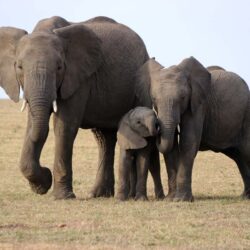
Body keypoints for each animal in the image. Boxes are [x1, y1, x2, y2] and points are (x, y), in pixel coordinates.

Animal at [0, 15, 148, 199]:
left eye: (59, 67)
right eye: (19, 67)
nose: (46, 173)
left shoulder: (79, 78)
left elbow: (64, 126)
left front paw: (61, 195)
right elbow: (32, 124)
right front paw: (41, 186)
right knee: (104, 138)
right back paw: (99, 194)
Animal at [137, 56, 250, 201]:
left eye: (183, 98)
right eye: (154, 99)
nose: (156, 128)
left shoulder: (198, 104)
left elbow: (188, 141)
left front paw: (181, 199)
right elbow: (172, 147)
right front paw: (170, 199)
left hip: (246, 116)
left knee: (246, 151)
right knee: (239, 156)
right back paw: (245, 196)